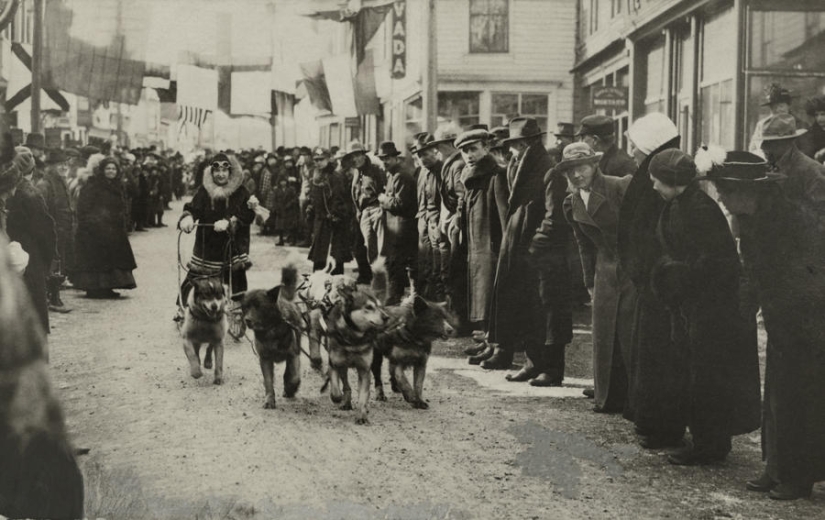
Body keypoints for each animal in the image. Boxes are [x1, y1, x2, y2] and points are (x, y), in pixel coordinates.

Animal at [243, 266, 304, 408]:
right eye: (245, 307)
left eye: (259, 306)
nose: (247, 320)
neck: (271, 330)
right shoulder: (265, 359)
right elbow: (268, 381)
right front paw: (270, 400)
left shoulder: (293, 354)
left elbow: (293, 375)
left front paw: (290, 388)